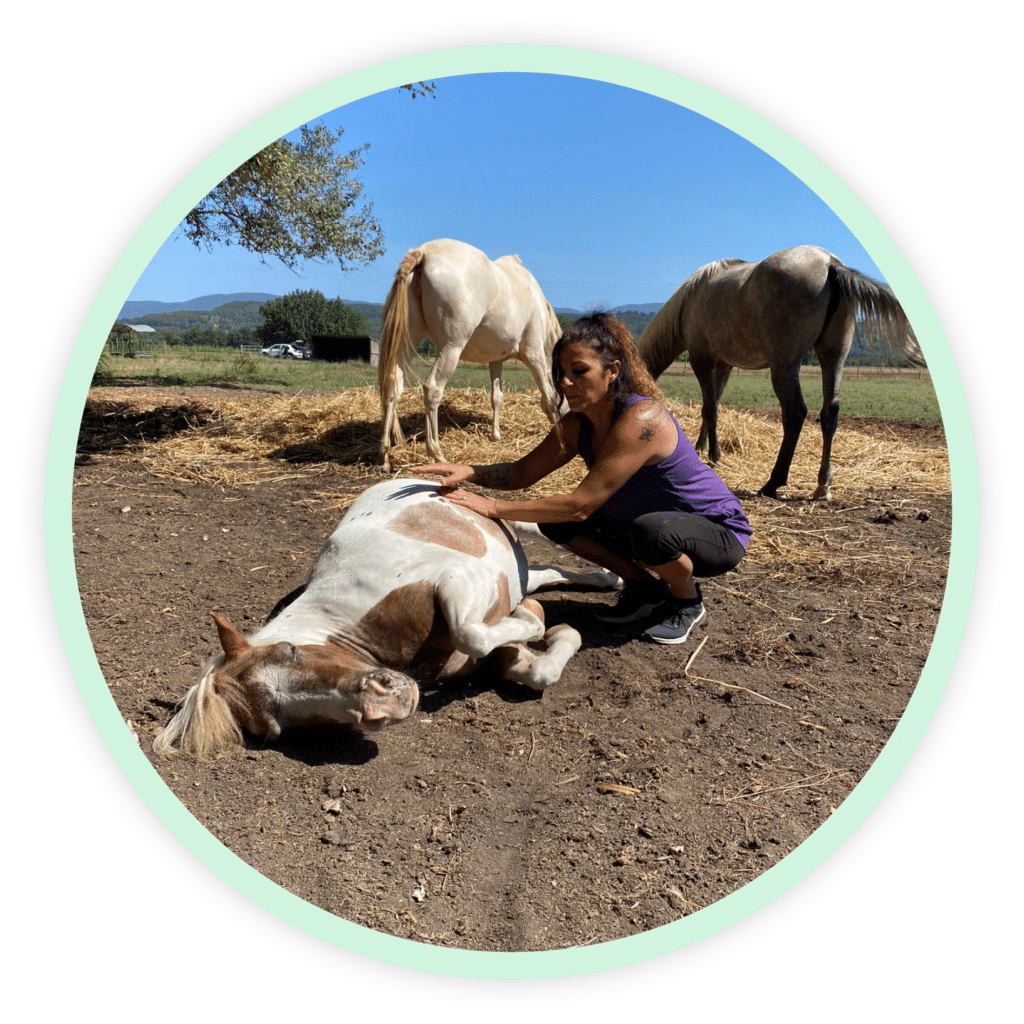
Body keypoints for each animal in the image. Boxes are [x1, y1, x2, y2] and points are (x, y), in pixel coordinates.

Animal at [153, 475, 614, 757]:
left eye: (290, 651)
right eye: (278, 728)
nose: (382, 703)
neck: (347, 624)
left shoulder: (454, 578)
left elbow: (472, 631)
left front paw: (536, 620)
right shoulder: (475, 655)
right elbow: (533, 668)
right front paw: (555, 631)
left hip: (504, 520)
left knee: (541, 531)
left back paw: (611, 575)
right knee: (542, 572)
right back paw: (604, 579)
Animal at [376, 237, 565, 468]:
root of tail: (424, 252)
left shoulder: (496, 361)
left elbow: (497, 397)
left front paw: (495, 436)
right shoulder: (534, 356)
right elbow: (549, 397)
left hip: (408, 339)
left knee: (394, 385)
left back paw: (384, 454)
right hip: (451, 348)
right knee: (432, 389)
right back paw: (436, 453)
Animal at [638, 248, 921, 503]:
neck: (690, 300)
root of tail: (830, 264)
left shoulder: (702, 361)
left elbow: (710, 409)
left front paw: (713, 455)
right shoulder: (724, 365)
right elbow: (712, 406)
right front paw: (701, 447)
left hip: (784, 366)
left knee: (795, 413)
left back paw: (772, 483)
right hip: (833, 357)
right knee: (829, 413)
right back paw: (822, 486)